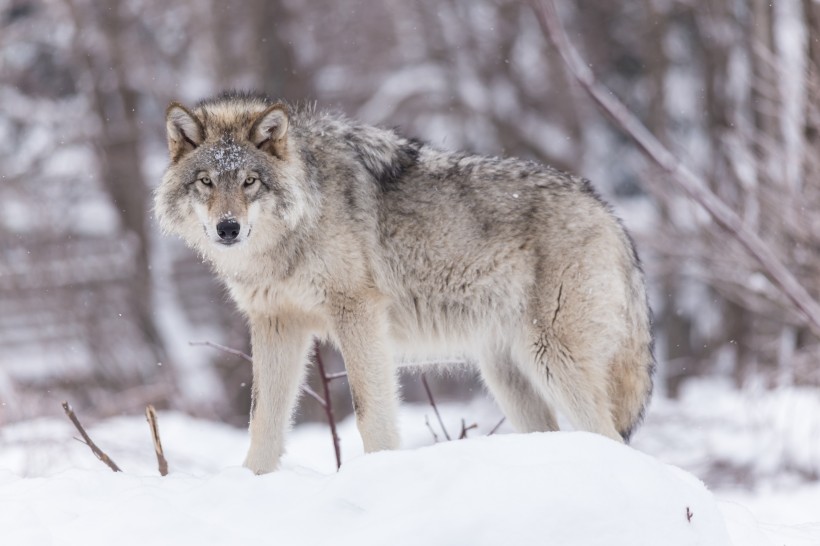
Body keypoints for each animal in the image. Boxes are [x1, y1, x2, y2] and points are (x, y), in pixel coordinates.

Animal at [154, 89, 652, 472]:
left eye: (250, 181)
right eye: (206, 182)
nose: (228, 229)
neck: (297, 226)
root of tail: (609, 213)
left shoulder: (357, 312)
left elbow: (369, 412)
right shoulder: (276, 323)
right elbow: (263, 421)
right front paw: (253, 480)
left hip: (553, 361)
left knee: (611, 436)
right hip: (508, 375)